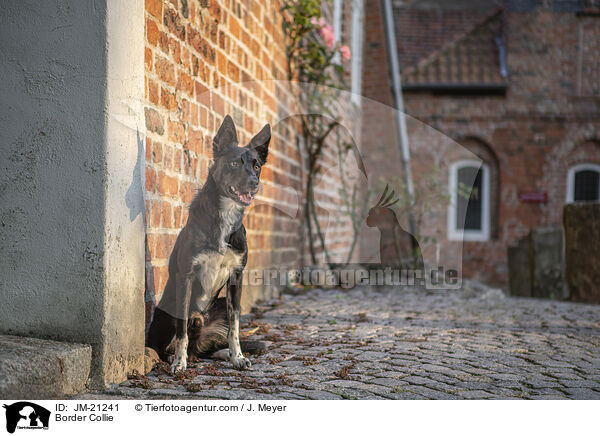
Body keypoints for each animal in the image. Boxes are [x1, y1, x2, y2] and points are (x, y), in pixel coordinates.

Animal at [149, 116, 270, 372]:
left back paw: (223, 353)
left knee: (205, 348)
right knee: (174, 344)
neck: (225, 216)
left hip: (221, 305)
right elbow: (182, 330)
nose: (254, 182)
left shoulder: (236, 276)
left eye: (256, 166)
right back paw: (177, 357)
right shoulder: (186, 276)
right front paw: (179, 363)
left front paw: (237, 357)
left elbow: (235, 326)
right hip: (167, 312)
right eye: (234, 164)